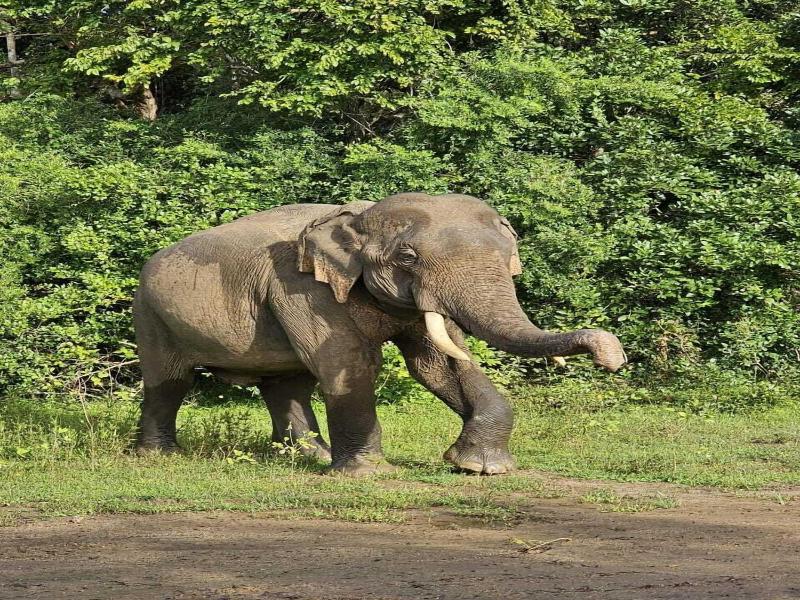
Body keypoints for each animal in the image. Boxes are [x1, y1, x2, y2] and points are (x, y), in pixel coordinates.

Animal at [133, 193, 625, 475]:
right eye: (407, 257)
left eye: (510, 254)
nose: (612, 356)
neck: (360, 214)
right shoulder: (300, 285)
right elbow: (350, 363)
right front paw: (370, 474)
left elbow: (436, 364)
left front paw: (480, 468)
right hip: (151, 314)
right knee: (169, 382)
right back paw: (159, 458)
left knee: (287, 383)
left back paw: (309, 458)